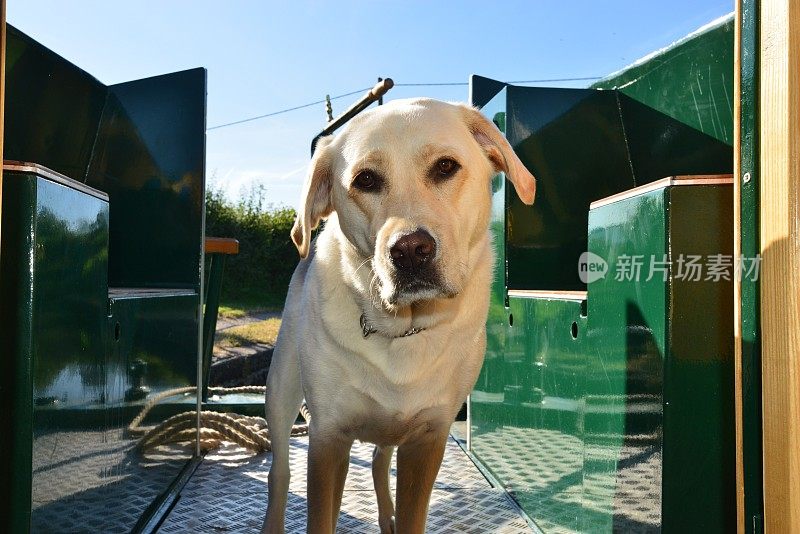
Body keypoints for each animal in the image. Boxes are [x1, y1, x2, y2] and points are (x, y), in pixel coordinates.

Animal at [262, 98, 536, 532]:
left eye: (445, 166)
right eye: (365, 180)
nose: (409, 250)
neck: (402, 328)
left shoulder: (427, 439)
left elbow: (412, 514)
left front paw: (397, 516)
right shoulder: (328, 438)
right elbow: (320, 515)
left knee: (378, 458)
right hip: (281, 389)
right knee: (280, 471)